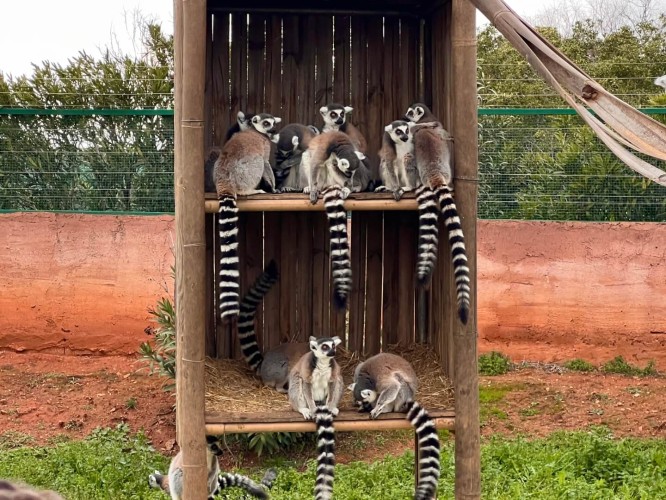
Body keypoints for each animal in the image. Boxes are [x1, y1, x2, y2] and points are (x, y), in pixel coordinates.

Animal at [213, 112, 280, 322]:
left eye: (273, 123)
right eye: (266, 123)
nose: (273, 130)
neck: (254, 131)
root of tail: (224, 177)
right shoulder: (265, 146)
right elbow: (266, 163)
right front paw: (273, 188)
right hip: (244, 173)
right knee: (257, 163)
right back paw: (253, 190)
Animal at [348, 353, 441, 500]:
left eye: (364, 401)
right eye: (360, 401)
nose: (363, 406)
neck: (368, 378)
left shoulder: (380, 376)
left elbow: (392, 386)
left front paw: (377, 407)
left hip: (404, 394)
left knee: (398, 381)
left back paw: (388, 408)